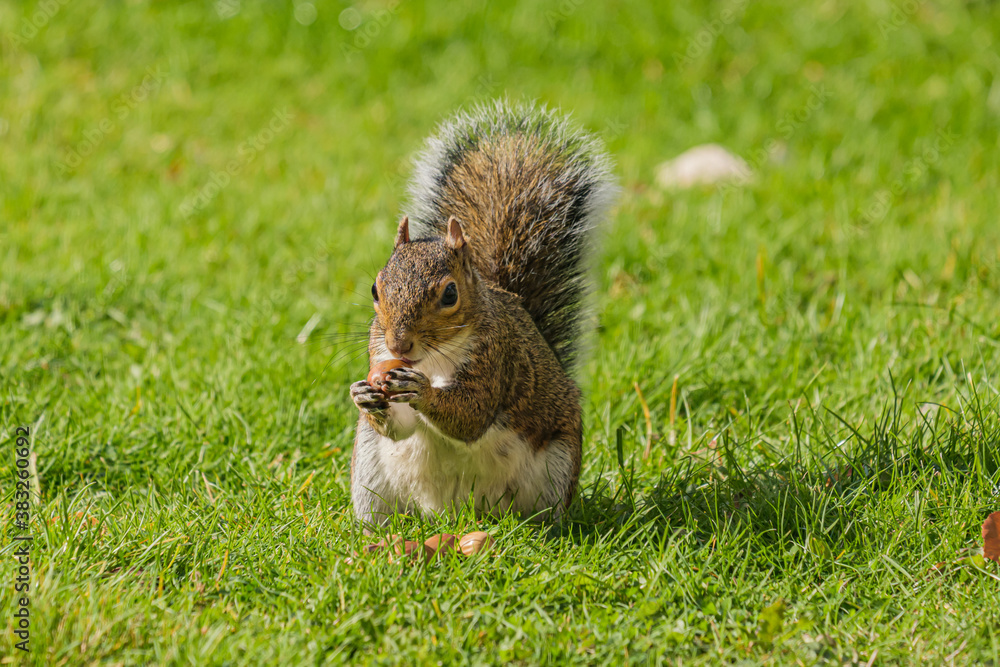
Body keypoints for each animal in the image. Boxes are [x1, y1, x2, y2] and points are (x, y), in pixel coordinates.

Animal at [349, 100, 617, 526]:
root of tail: (451, 512)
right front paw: (362, 394)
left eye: (450, 294)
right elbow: (401, 428)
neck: (431, 360)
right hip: (369, 472)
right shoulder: (379, 354)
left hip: (556, 469)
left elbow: (471, 415)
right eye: (376, 289)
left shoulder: (497, 358)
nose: (399, 345)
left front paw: (421, 391)